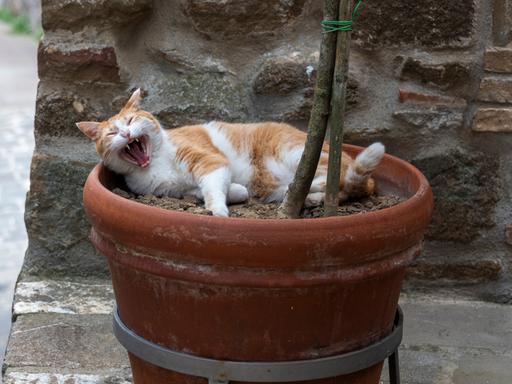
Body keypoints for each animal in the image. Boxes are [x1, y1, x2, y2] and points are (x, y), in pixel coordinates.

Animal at [77, 88, 384, 218]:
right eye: (112, 133)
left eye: (130, 121)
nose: (126, 134)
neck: (153, 163)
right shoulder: (175, 191)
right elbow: (224, 190)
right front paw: (232, 194)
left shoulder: (210, 162)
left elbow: (214, 189)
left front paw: (217, 210)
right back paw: (308, 199)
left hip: (297, 155)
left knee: (338, 182)